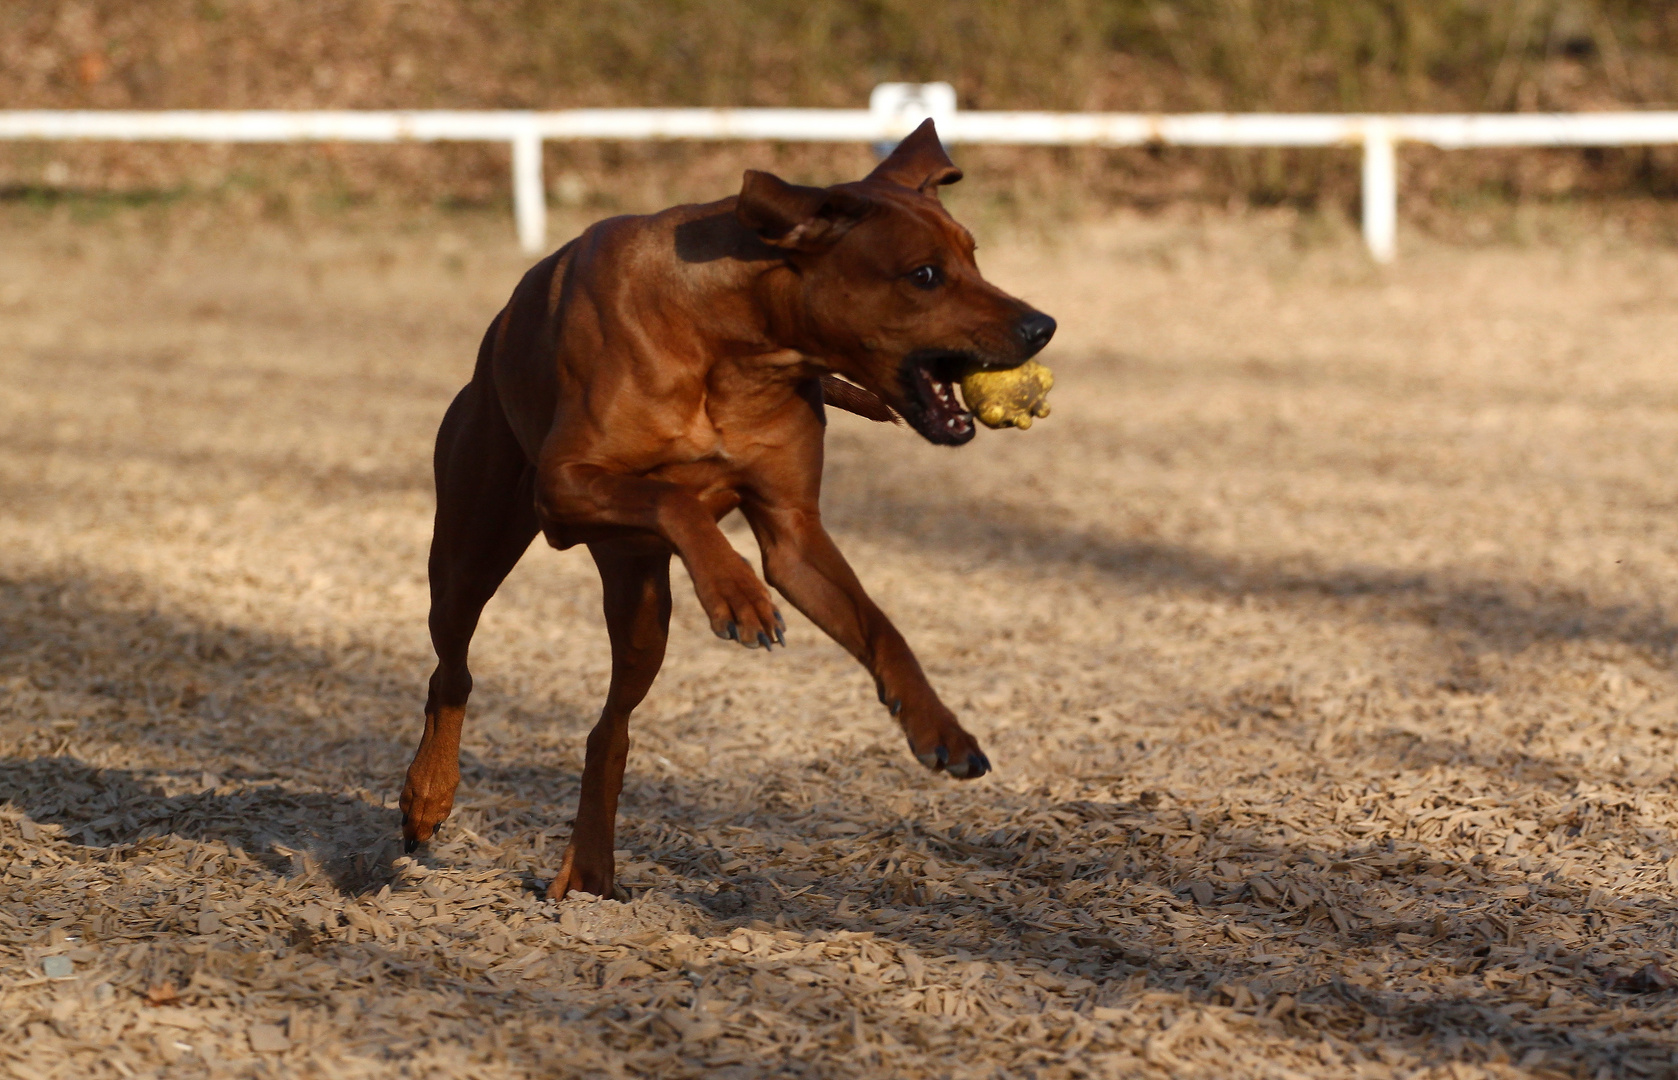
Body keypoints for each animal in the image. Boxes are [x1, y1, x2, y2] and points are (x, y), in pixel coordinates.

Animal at [399, 122, 1053, 898]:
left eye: (973, 256)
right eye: (924, 275)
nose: (1041, 326)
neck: (736, 342)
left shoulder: (795, 533)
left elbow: (880, 627)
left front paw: (940, 729)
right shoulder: (562, 489)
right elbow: (673, 492)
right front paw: (737, 591)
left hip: (640, 603)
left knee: (609, 729)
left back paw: (588, 871)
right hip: (471, 546)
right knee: (452, 667)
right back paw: (427, 796)